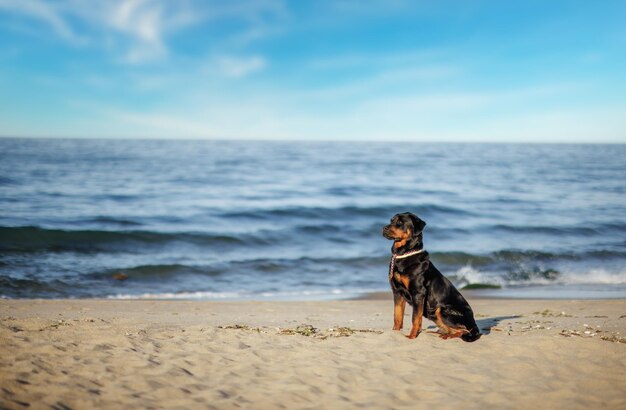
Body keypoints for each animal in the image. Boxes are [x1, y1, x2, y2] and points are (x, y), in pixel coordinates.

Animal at [380, 213, 478, 342]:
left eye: (400, 223)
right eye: (391, 220)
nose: (384, 228)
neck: (404, 254)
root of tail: (474, 323)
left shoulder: (418, 292)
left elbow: (415, 318)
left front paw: (411, 337)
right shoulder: (397, 292)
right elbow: (397, 316)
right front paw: (395, 332)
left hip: (443, 311)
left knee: (464, 330)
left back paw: (447, 335)